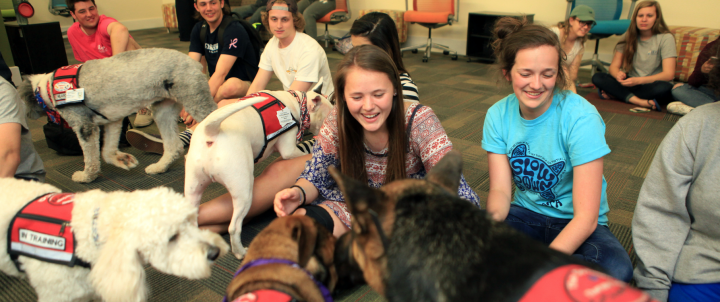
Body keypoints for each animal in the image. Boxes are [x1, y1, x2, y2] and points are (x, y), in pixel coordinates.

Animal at [17, 48, 217, 183]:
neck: (48, 86)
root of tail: (194, 63)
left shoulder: (84, 126)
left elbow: (91, 158)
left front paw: (86, 176)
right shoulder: (113, 121)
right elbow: (106, 152)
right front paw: (123, 160)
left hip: (195, 101)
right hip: (163, 110)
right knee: (174, 146)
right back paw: (160, 167)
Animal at [184, 84, 334, 258]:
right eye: (329, 115)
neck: (297, 103)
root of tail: (212, 131)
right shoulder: (289, 150)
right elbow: (302, 154)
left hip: (193, 189)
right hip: (243, 191)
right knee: (234, 227)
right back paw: (240, 252)